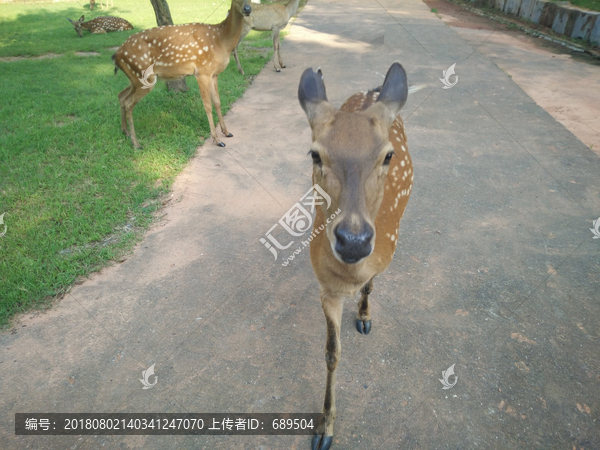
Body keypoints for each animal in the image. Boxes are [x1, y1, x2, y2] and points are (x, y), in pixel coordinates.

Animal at [112, 0, 251, 148]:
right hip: (142, 75)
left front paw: (227, 132)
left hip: (137, 78)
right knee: (129, 104)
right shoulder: (202, 71)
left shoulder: (214, 74)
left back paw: (125, 132)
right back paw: (136, 143)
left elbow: (217, 102)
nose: (247, 9)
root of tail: (116, 55)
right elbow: (207, 105)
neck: (221, 40)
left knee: (121, 95)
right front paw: (217, 139)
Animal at [298, 63, 414, 450]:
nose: (353, 241)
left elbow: (371, 283)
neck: (347, 275)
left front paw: (364, 316)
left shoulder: (387, 249)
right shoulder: (325, 288)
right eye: (315, 154)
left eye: (388, 155)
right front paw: (325, 429)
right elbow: (332, 353)